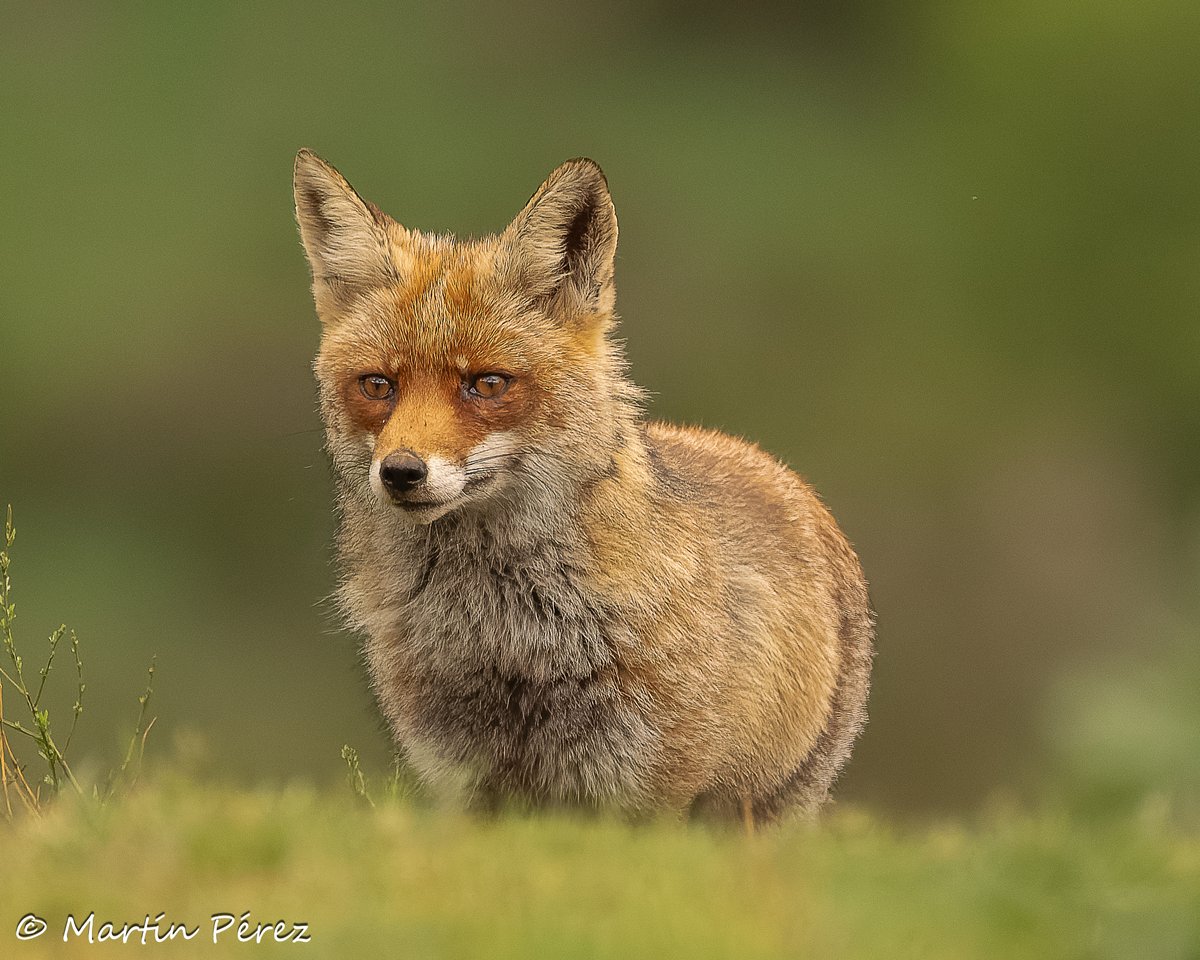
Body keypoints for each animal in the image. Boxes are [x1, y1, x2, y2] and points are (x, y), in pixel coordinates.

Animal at [293, 149, 874, 824]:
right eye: (378, 386)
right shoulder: (465, 782)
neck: (507, 635)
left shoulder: (643, 788)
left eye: (487, 384)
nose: (402, 472)